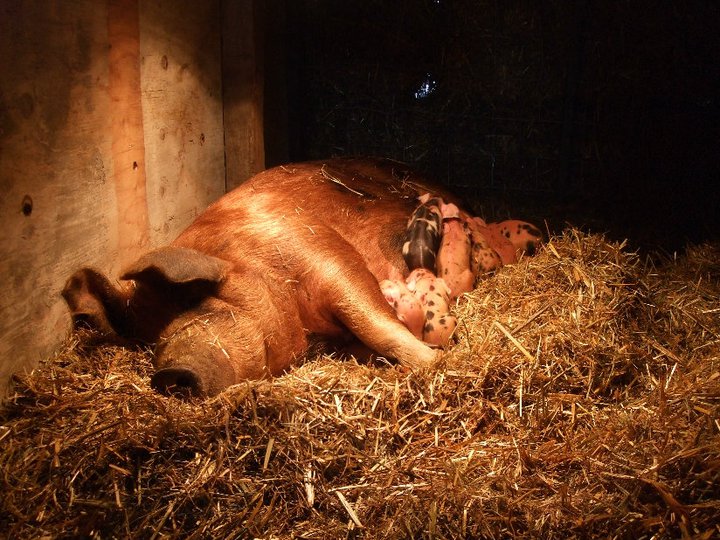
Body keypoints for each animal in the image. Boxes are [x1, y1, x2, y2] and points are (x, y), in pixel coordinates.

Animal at [63, 158, 471, 397]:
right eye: (147, 341)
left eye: (192, 302)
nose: (166, 377)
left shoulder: (323, 254)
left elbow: (373, 322)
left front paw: (435, 363)